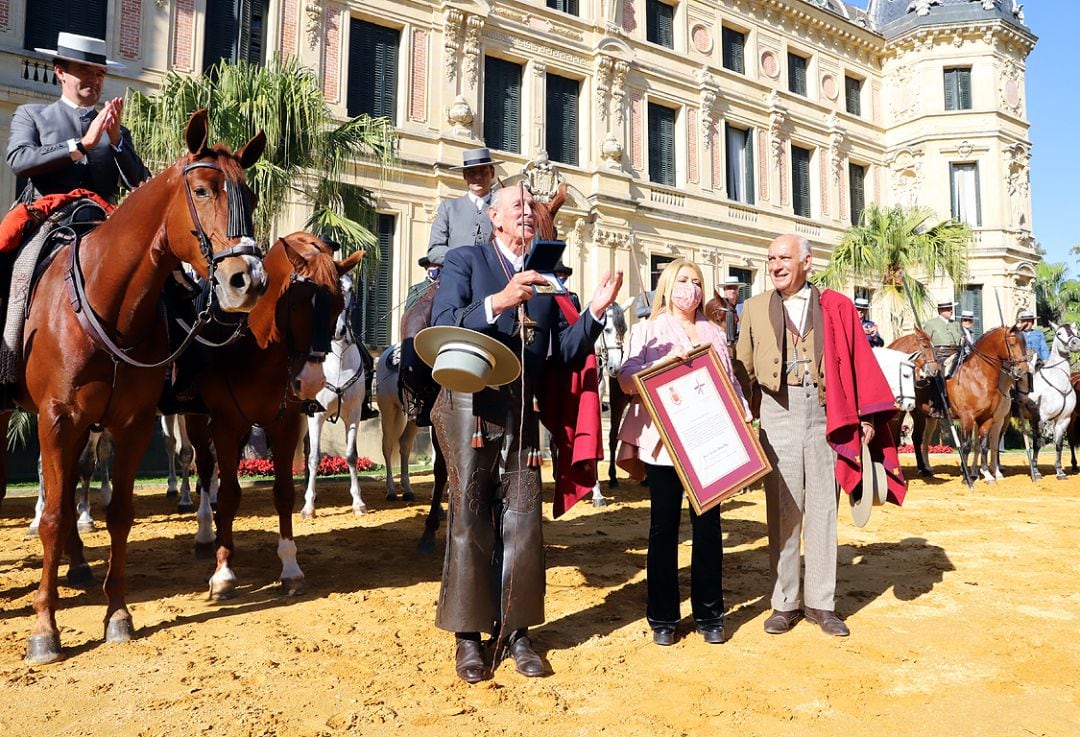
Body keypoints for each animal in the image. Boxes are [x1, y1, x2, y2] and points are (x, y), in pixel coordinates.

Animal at [5, 110, 266, 665]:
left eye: (251, 196)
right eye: (203, 190)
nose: (248, 279)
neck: (109, 304)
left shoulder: (132, 422)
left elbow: (119, 514)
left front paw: (118, 614)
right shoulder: (57, 418)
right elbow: (52, 515)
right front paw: (44, 628)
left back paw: (80, 565)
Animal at [184, 232, 362, 592]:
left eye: (339, 304)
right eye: (296, 304)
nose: (311, 381)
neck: (257, 352)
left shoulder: (286, 426)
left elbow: (283, 493)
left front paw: (290, 566)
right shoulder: (226, 426)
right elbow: (229, 494)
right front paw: (223, 570)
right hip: (197, 422)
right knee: (207, 469)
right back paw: (207, 533)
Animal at [302, 278, 369, 518]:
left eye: (349, 289)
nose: (338, 330)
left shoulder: (354, 415)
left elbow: (351, 455)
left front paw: (358, 502)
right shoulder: (316, 416)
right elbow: (315, 457)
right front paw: (308, 507)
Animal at [1019, 322, 1080, 475]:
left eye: (1076, 331)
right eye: (1059, 333)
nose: (1076, 343)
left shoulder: (1064, 419)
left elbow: (1058, 445)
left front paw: (1059, 471)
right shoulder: (1040, 419)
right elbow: (1037, 444)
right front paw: (1035, 470)